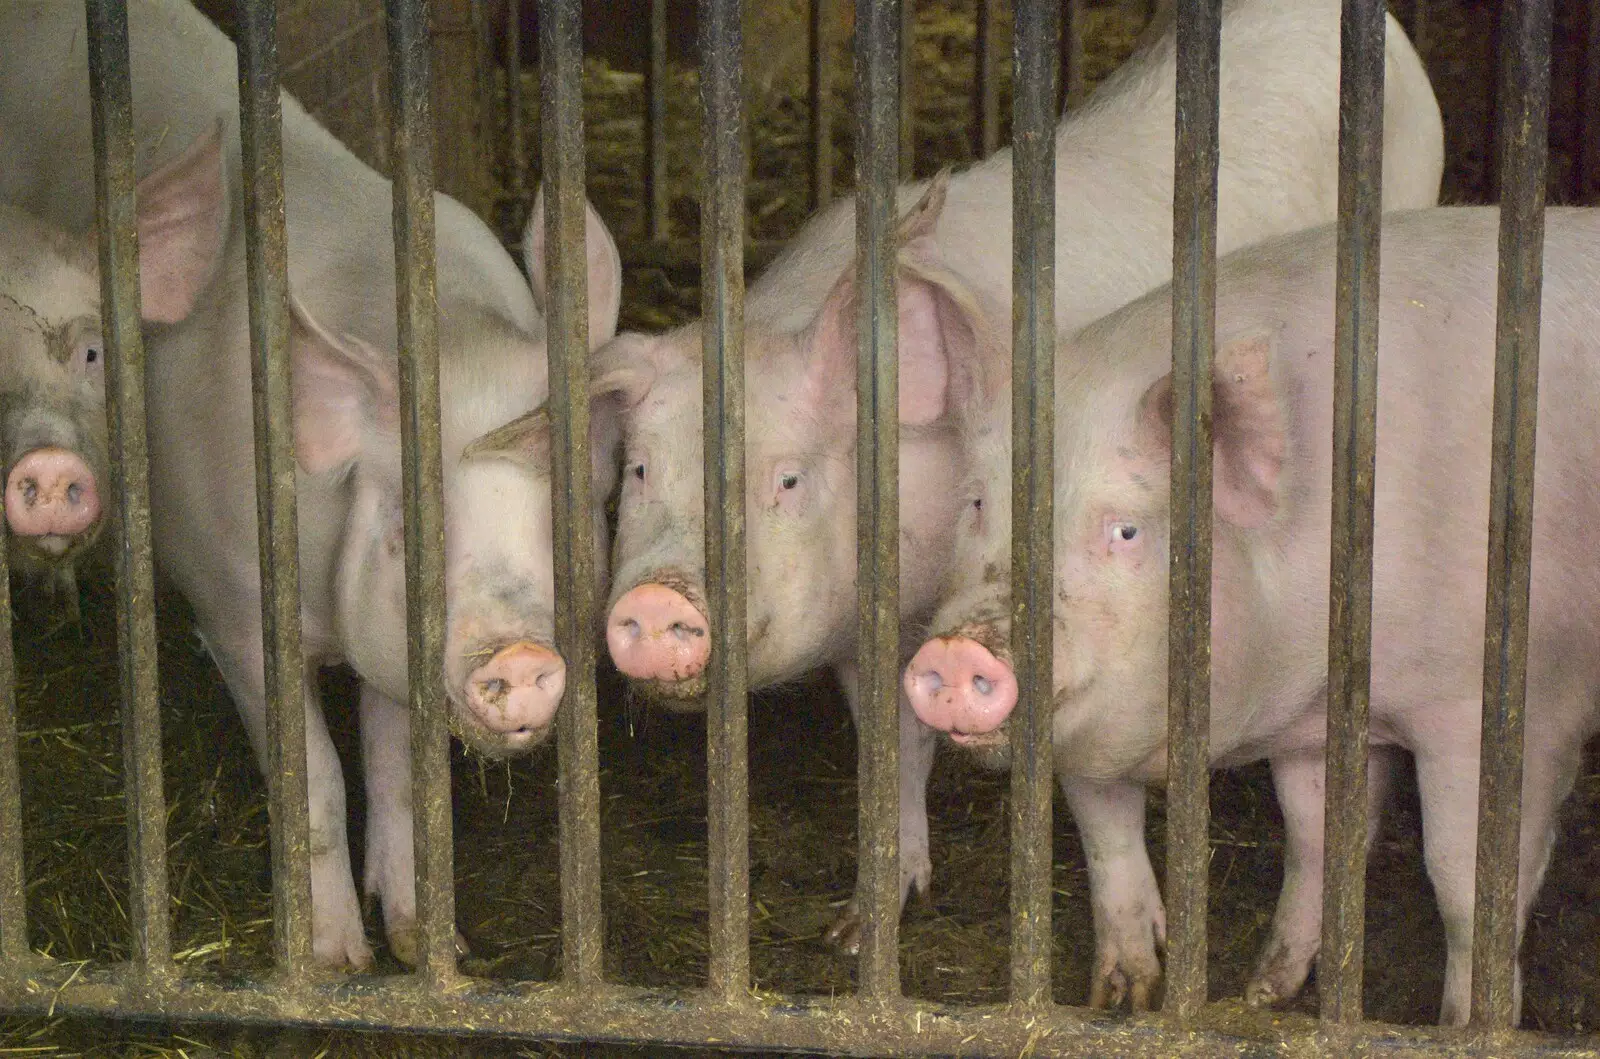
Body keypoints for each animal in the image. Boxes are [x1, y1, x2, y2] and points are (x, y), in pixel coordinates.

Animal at [0, 0, 624, 972]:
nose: (520, 657)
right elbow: (318, 782)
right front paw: (338, 963)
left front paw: (424, 943)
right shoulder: (232, 609)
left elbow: (400, 774)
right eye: (409, 533)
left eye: (571, 516)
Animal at [908, 207, 1600, 1030]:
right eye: (980, 503)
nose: (957, 648)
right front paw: (1220, 993)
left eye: (1127, 530)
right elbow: (1293, 836)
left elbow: (1470, 886)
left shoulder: (1514, 705)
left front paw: (1463, 1027)